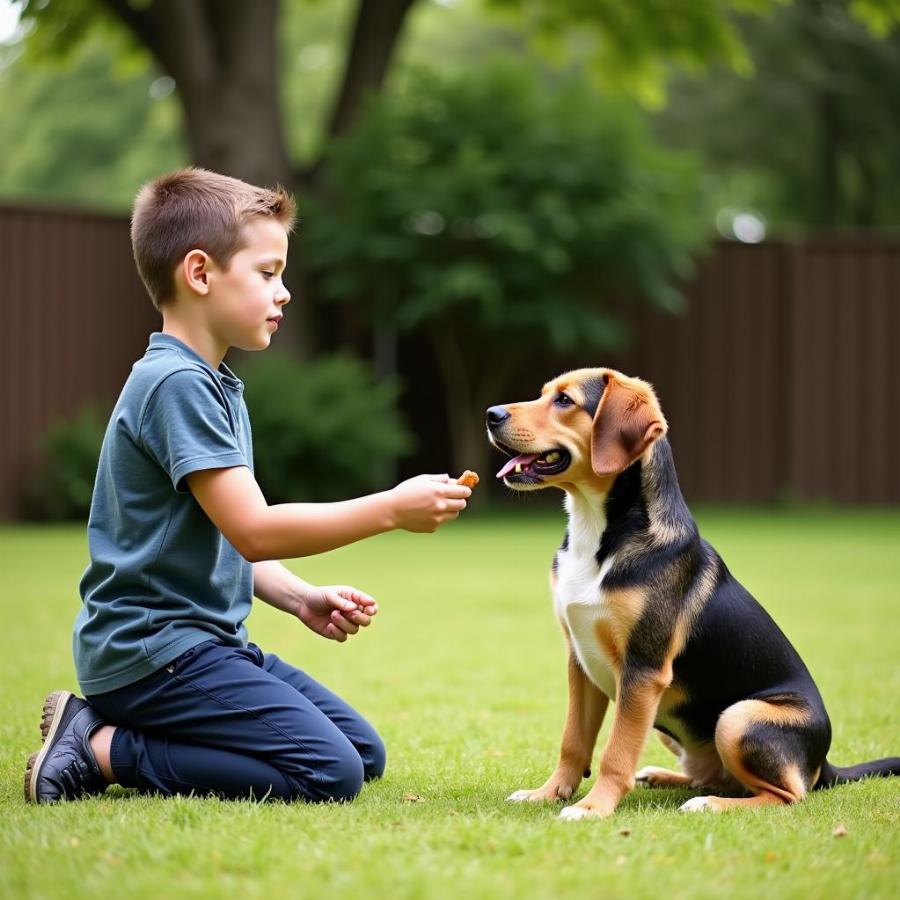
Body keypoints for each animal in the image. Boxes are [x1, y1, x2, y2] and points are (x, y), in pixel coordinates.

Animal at [488, 370, 896, 820]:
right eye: (544, 393)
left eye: (564, 401)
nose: (491, 414)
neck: (598, 534)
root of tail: (823, 762)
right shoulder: (580, 661)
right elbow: (573, 741)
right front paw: (548, 793)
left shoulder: (644, 670)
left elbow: (616, 752)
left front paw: (593, 807)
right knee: (713, 775)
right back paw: (663, 778)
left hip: (738, 718)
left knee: (786, 794)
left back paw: (709, 804)